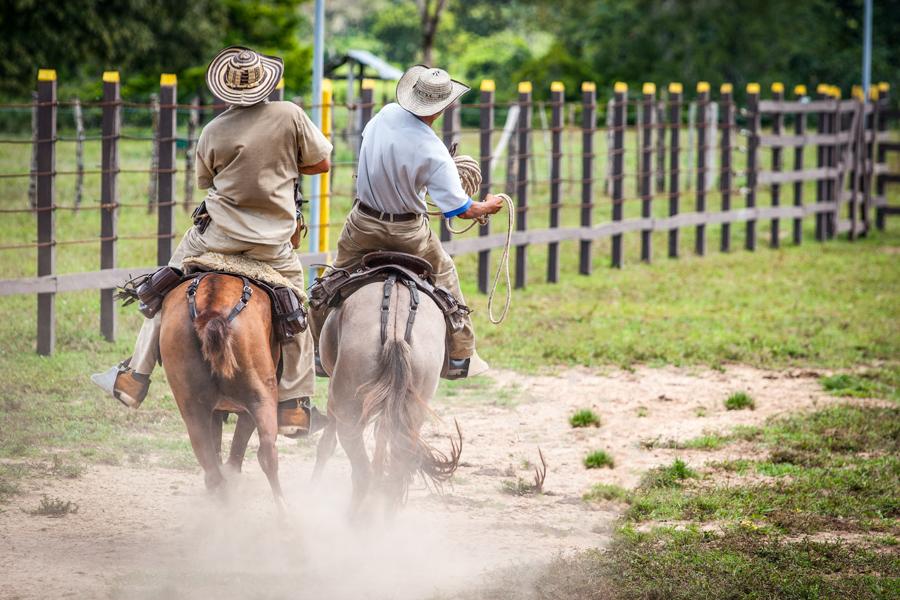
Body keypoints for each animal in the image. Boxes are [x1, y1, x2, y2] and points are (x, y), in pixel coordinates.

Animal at [159, 274, 284, 506]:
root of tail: (212, 309)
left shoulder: (214, 410)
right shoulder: (247, 408)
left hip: (193, 410)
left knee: (208, 459)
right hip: (262, 397)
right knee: (267, 452)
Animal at [312, 278, 464, 512]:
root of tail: (396, 332)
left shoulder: (332, 395)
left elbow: (326, 444)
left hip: (347, 407)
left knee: (361, 470)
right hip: (413, 407)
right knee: (396, 466)